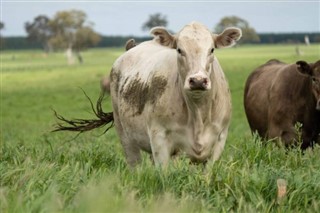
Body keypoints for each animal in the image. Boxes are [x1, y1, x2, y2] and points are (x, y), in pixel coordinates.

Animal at [54, 22, 240, 168]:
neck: (198, 112)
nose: (198, 81)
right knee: (134, 163)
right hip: (125, 135)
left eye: (212, 50)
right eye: (179, 50)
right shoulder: (160, 139)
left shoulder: (219, 140)